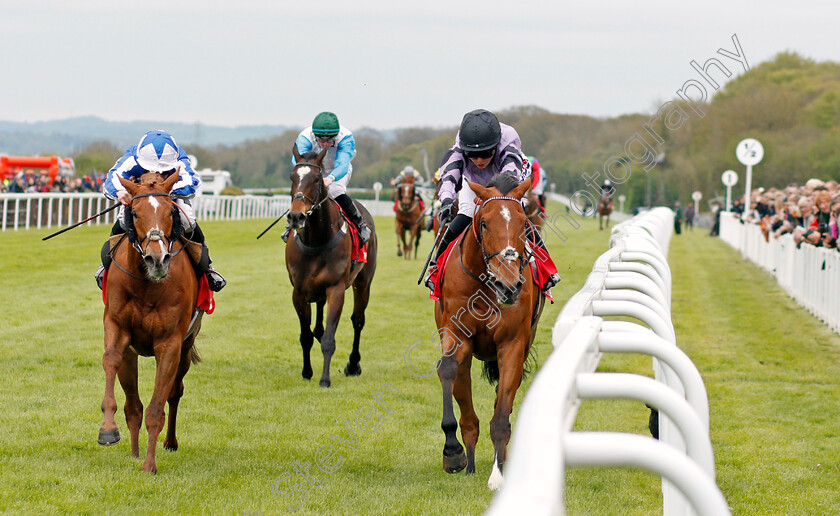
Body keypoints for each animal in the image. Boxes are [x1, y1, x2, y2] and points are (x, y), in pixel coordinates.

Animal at [97, 171, 203, 474]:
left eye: (170, 211)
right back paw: (134, 451)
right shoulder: (117, 328)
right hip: (132, 354)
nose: (157, 259)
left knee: (175, 393)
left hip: (185, 347)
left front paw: (149, 465)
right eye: (134, 212)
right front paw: (107, 430)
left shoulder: (169, 343)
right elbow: (110, 359)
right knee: (133, 405)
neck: (145, 284)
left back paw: (169, 443)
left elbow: (158, 407)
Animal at [288, 145, 380, 388]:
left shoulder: (337, 289)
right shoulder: (299, 292)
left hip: (363, 283)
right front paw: (307, 371)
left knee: (358, 321)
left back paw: (353, 364)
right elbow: (305, 336)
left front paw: (325, 379)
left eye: (316, 179)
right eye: (292, 177)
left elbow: (330, 338)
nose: (296, 216)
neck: (316, 240)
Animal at [434, 174, 544, 492]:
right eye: (483, 223)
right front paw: (453, 452)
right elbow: (447, 369)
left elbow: (501, 412)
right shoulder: (456, 335)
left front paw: (497, 474)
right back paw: (469, 462)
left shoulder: (513, 344)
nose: (509, 285)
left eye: (523, 222)